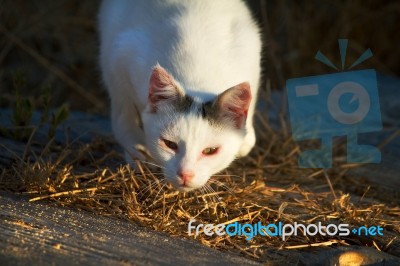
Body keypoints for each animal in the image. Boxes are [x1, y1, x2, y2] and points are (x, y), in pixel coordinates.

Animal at [98, 0, 262, 191]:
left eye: (210, 151)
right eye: (170, 144)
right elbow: (123, 115)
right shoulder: (121, 53)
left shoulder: (252, 51)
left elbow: (247, 140)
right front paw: (137, 152)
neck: (196, 78)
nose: (185, 174)